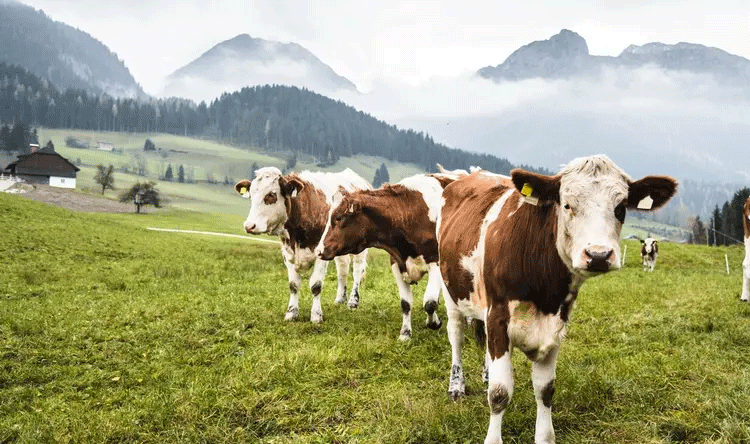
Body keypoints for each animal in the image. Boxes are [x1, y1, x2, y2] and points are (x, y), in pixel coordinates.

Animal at [234, 167, 371, 323]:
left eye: (271, 194)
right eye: (251, 195)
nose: (249, 226)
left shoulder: (320, 254)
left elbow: (316, 285)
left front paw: (316, 315)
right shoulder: (287, 253)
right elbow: (293, 285)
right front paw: (291, 312)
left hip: (360, 248)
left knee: (357, 270)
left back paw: (353, 302)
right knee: (342, 267)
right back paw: (340, 299)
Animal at [315, 172, 465, 340]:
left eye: (339, 218)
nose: (319, 250)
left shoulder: (435, 263)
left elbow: (430, 302)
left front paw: (434, 323)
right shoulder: (396, 263)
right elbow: (406, 303)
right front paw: (405, 334)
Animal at [437, 155, 677, 444]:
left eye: (621, 208)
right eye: (567, 204)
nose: (598, 255)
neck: (542, 290)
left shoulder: (555, 323)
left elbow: (545, 389)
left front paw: (544, 435)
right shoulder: (498, 316)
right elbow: (499, 393)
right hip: (451, 290)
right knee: (456, 336)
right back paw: (456, 385)